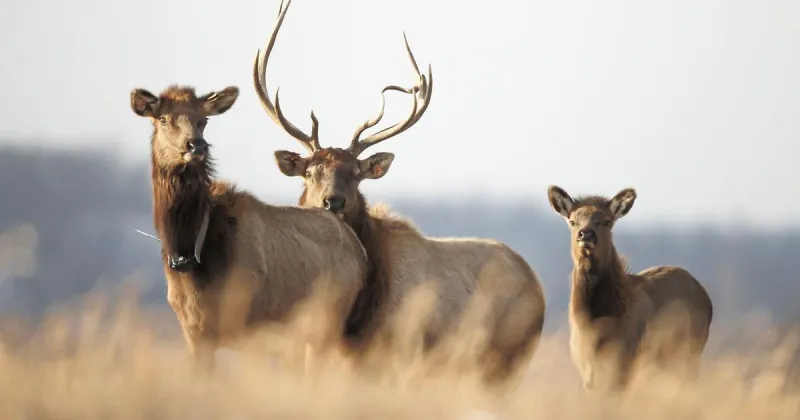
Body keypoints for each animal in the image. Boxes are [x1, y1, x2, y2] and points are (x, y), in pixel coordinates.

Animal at [130, 82, 370, 374]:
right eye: (163, 119)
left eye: (204, 120)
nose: (196, 144)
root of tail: (359, 248)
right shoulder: (194, 331)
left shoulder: (249, 324)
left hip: (325, 325)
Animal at [252, 0, 546, 389]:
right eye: (311, 173)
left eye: (356, 175)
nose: (333, 201)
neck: (357, 313)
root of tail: (538, 286)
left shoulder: (391, 354)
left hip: (507, 358)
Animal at [547, 185, 713, 392]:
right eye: (572, 221)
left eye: (607, 221)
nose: (586, 234)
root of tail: (706, 296)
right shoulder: (584, 364)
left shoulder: (627, 357)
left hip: (693, 348)